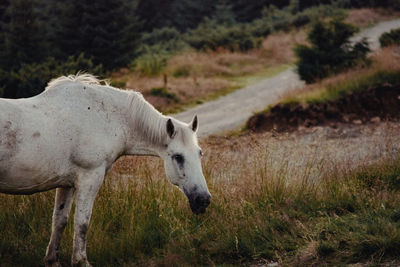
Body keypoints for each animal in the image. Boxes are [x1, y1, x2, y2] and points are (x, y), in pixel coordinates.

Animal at [0, 74, 212, 267]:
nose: (203, 199)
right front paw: (81, 261)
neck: (107, 116)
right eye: (178, 157)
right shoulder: (90, 177)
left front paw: (52, 260)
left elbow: (59, 221)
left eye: (199, 153)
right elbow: (82, 222)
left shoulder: (66, 184)